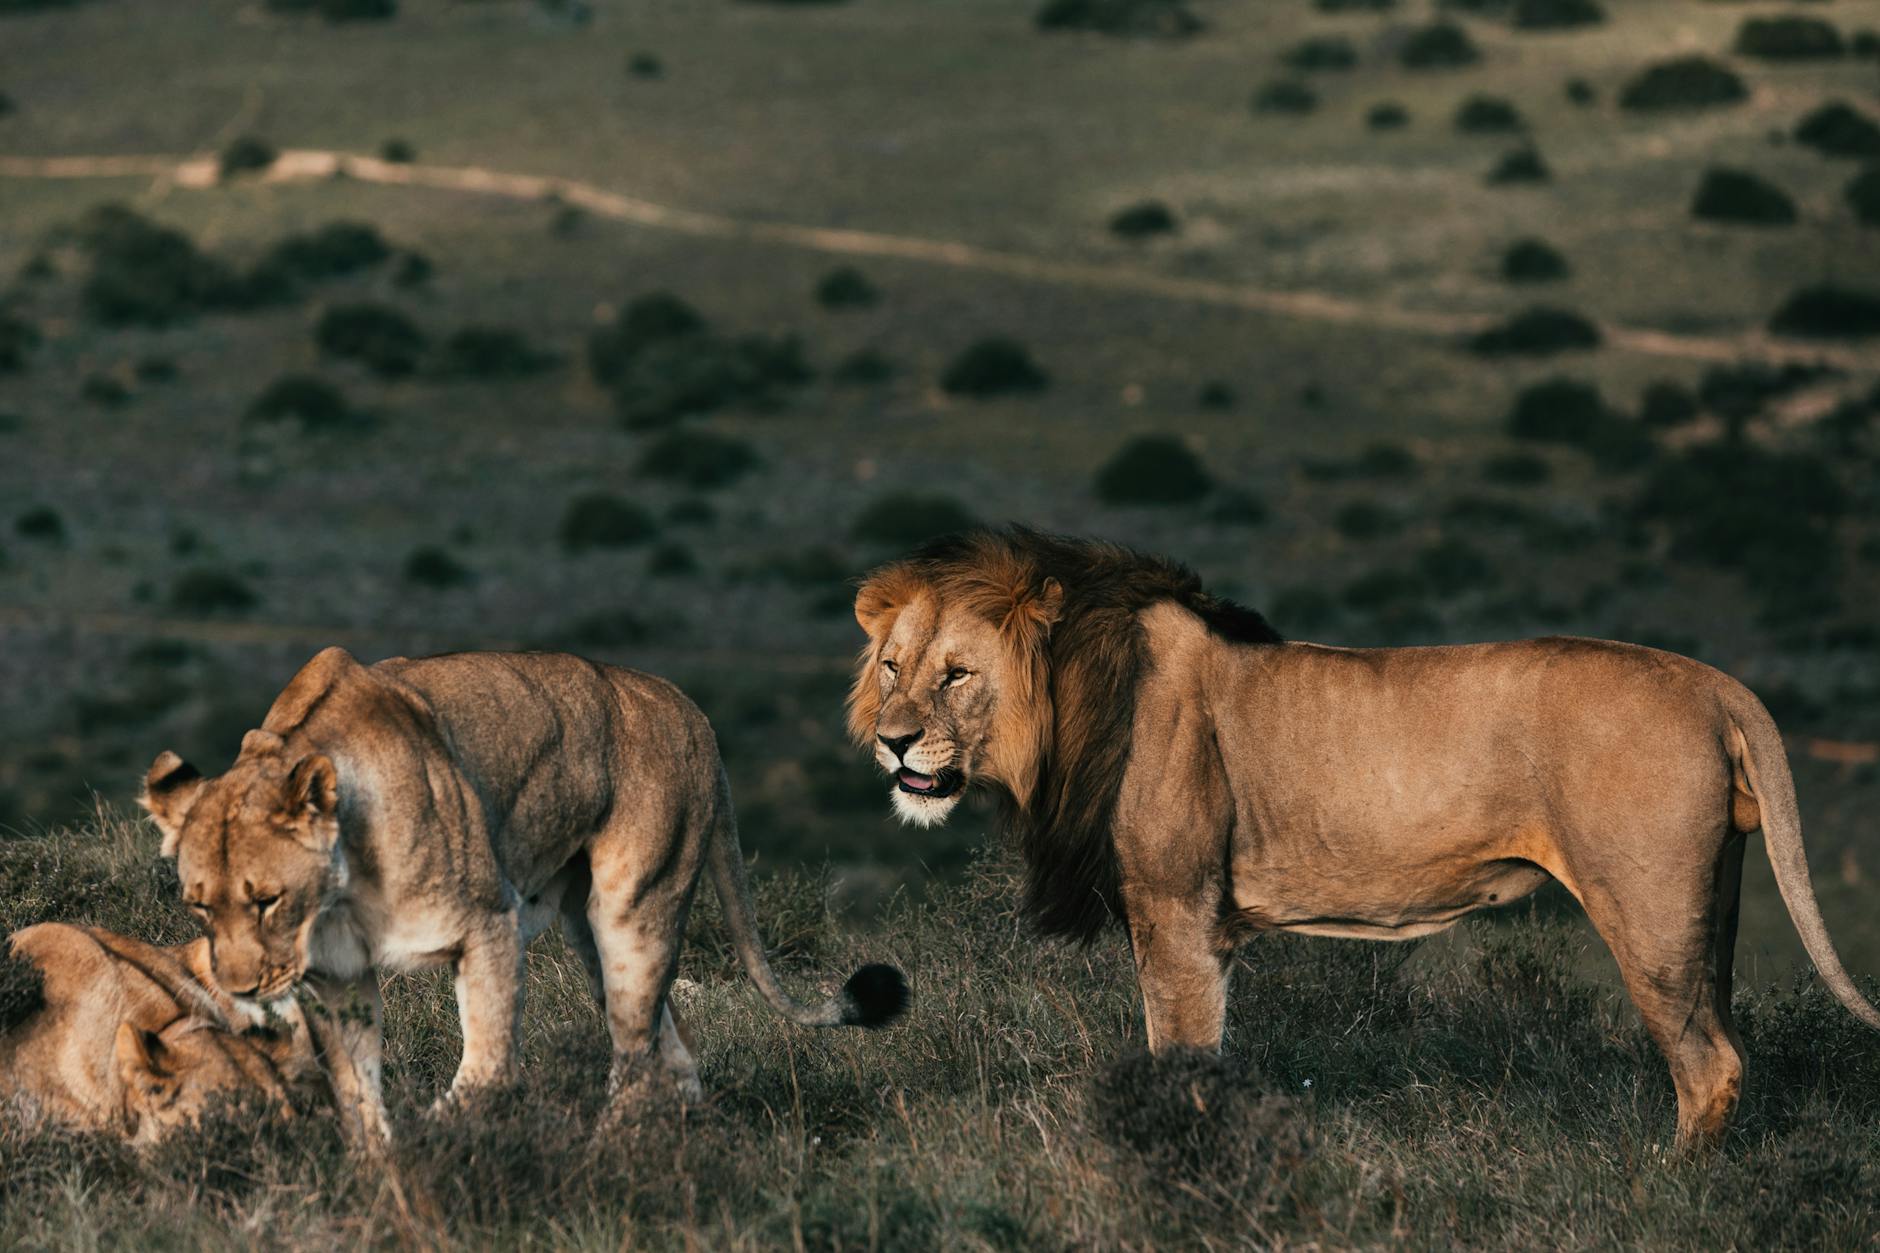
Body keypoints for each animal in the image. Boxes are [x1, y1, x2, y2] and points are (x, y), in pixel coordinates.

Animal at [140, 647, 907, 1150]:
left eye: (266, 900)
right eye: (200, 907)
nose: (241, 988)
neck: (340, 887)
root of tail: (691, 710)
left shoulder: (489, 925)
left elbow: (487, 1068)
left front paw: (438, 1138)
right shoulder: (338, 979)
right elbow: (358, 1095)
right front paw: (383, 1179)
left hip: (633, 910)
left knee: (634, 1055)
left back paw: (609, 1155)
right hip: (589, 934)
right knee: (673, 1045)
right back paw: (688, 1150)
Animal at [848, 527, 1879, 1148]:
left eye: (956, 674)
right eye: (892, 666)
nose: (894, 741)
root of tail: (1715, 682)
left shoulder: (1178, 914)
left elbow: (1181, 1055)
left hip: (1649, 910)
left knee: (1709, 1064)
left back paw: (1669, 1186)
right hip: (1715, 904)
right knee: (1730, 1044)